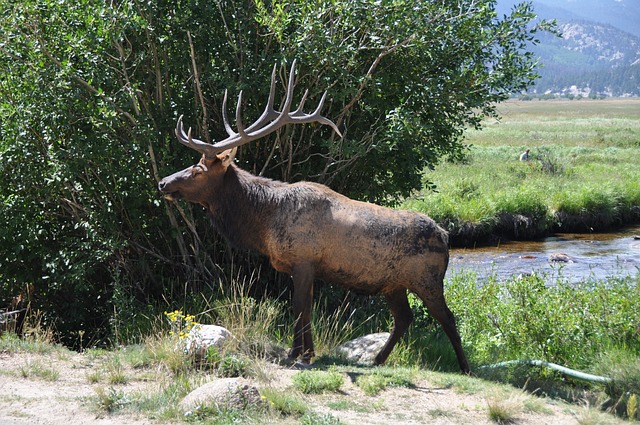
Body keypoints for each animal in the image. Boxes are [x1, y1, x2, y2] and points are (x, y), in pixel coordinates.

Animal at [160, 59, 470, 372]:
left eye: (198, 170)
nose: (163, 183)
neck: (264, 225)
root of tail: (445, 236)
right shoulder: (307, 267)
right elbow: (307, 310)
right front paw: (307, 352)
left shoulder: (303, 259)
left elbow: (299, 309)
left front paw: (295, 353)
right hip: (393, 283)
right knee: (404, 317)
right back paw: (377, 359)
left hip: (427, 277)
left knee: (447, 317)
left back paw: (465, 367)